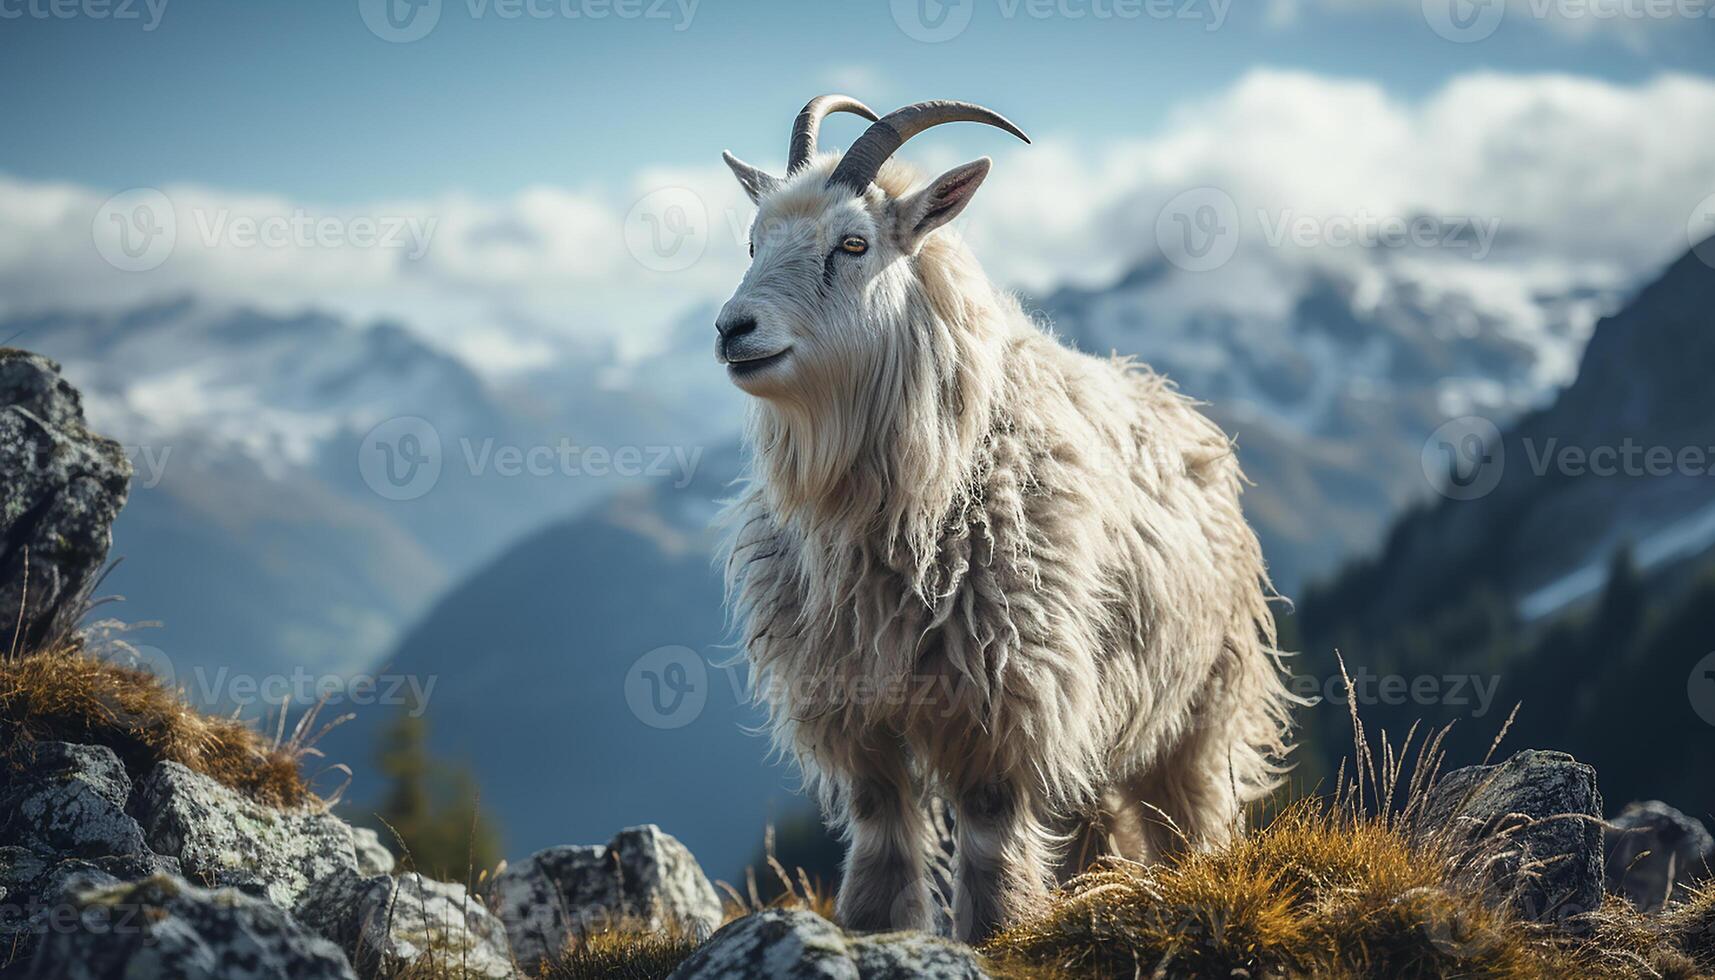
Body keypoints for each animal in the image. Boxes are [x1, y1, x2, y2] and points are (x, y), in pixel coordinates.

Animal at [716, 97, 1289, 940]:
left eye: (852, 243)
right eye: (754, 242)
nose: (732, 329)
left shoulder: (1005, 688)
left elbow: (988, 828)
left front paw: (997, 931)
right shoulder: (849, 698)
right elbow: (879, 822)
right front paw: (871, 927)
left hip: (1198, 700)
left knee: (1187, 814)